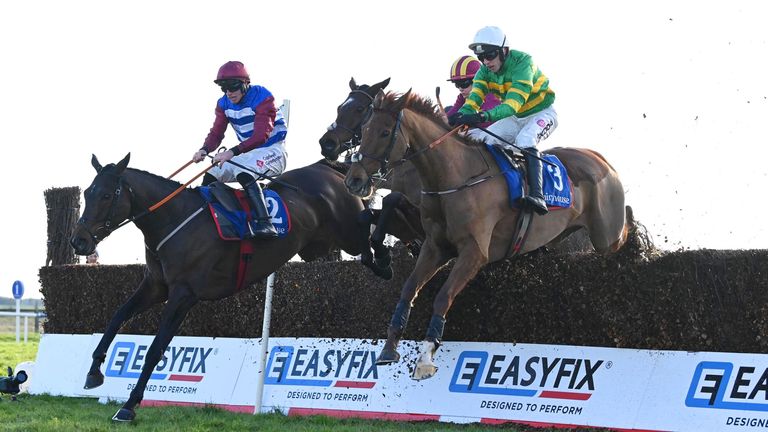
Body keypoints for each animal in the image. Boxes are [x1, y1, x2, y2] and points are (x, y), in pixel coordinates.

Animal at [344, 90, 628, 378]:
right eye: (365, 130)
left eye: (384, 132)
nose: (353, 180)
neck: (455, 178)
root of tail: (601, 159)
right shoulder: (435, 247)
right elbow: (408, 290)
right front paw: (388, 348)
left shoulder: (474, 253)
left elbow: (443, 296)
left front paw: (425, 356)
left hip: (606, 236)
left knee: (622, 237)